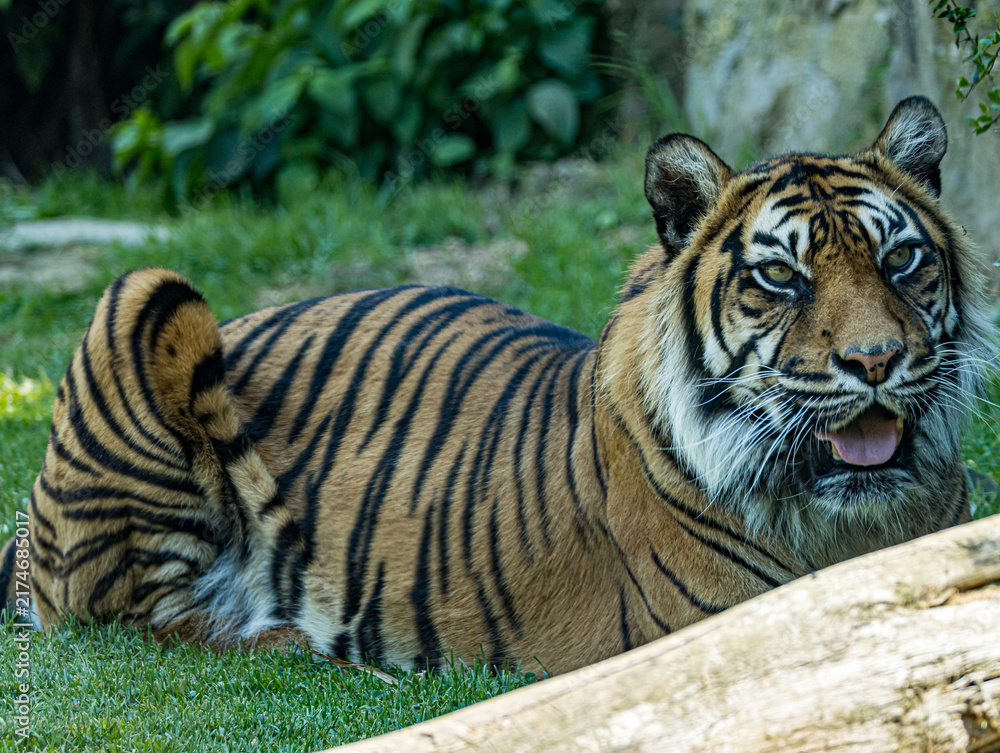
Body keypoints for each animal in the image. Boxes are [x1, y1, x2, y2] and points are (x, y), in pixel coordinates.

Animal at [1, 96, 992, 676]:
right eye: (781, 277)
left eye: (901, 261)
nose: (875, 360)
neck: (856, 517)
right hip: (147, 295)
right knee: (130, 619)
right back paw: (301, 639)